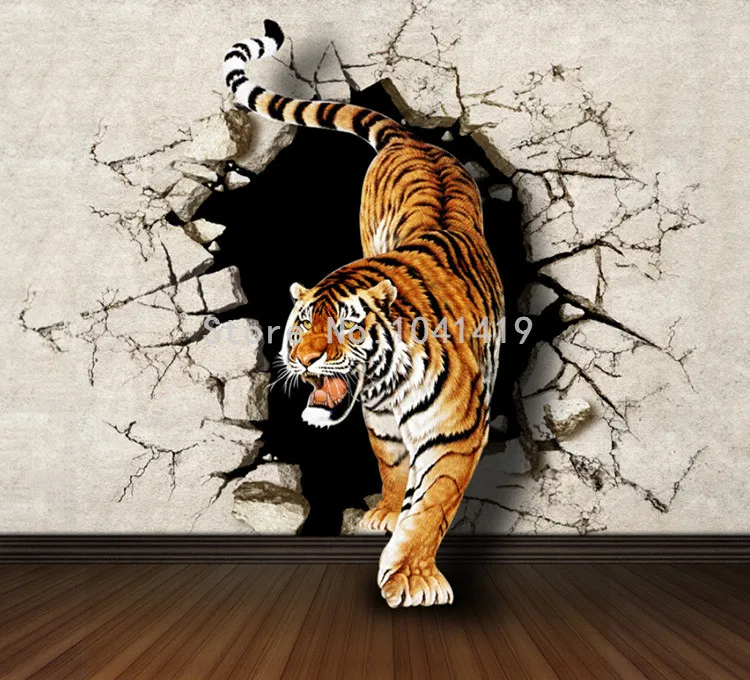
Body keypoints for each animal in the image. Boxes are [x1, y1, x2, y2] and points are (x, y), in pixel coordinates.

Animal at [223, 20, 504, 608]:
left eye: (345, 328)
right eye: (300, 328)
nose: (305, 362)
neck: (387, 386)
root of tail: (412, 138)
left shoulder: (458, 433)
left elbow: (432, 504)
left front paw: (411, 578)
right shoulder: (380, 422)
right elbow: (393, 468)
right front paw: (384, 513)